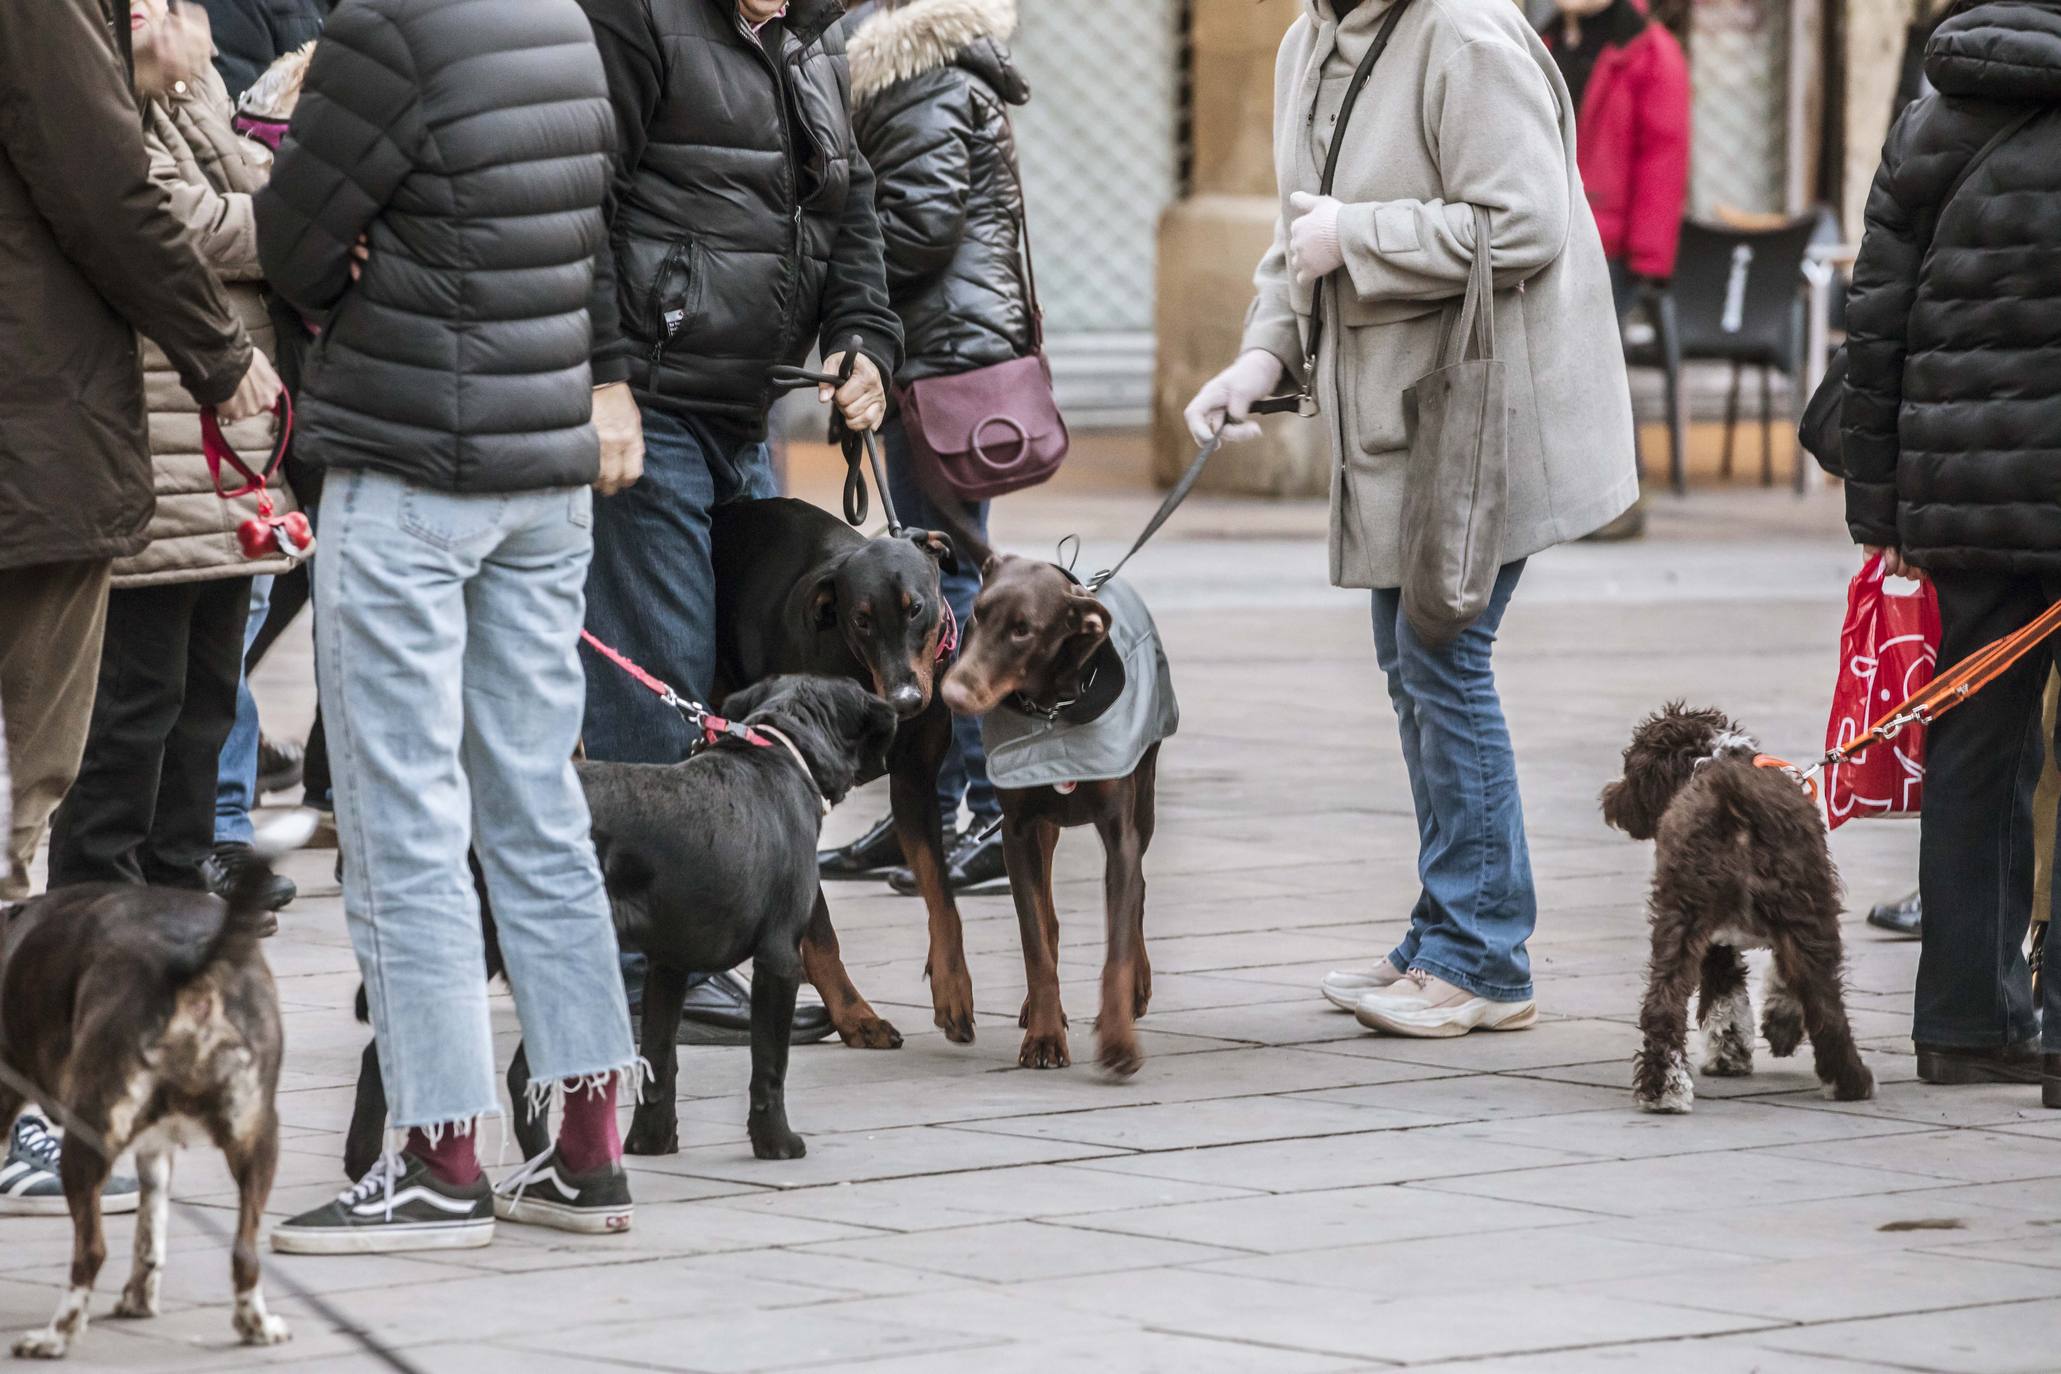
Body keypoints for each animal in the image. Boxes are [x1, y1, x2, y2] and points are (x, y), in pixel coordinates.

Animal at [342, 675, 898, 1170]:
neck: (780, 751)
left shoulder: (668, 966)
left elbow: (659, 1060)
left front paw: (651, 1142)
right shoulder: (779, 959)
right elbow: (769, 1064)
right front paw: (776, 1143)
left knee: (392, 1055)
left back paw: (370, 1162)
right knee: (516, 1076)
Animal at [713, 500, 976, 1046]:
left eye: (916, 608)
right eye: (861, 621)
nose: (907, 702)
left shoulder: (915, 783)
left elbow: (942, 897)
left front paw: (952, 987)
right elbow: (820, 930)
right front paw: (854, 1014)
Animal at [1599, 708, 1879, 1120]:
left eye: (1631, 770)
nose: (1610, 801)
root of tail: (1730, 795)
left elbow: (1729, 997)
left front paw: (1740, 1048)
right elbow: (1754, 992)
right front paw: (1762, 1037)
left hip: (1692, 914)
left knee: (1665, 1002)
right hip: (1796, 910)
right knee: (1823, 1000)